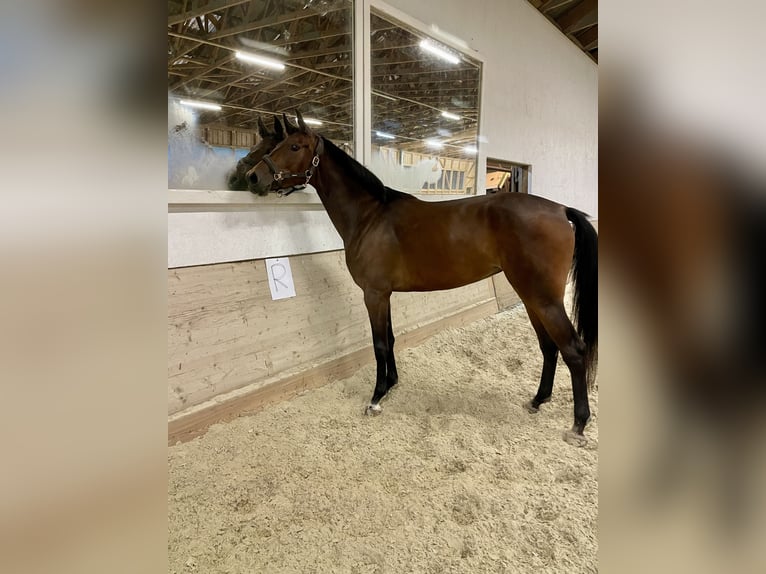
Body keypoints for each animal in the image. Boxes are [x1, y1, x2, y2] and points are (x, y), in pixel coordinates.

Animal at [246, 111, 600, 446]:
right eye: (273, 145)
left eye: (294, 146)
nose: (253, 176)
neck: (370, 216)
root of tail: (560, 209)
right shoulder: (385, 294)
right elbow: (389, 340)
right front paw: (391, 384)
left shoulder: (373, 294)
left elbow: (378, 344)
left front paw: (376, 398)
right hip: (530, 297)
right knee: (548, 346)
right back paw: (537, 400)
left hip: (543, 299)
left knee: (573, 349)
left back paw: (578, 425)